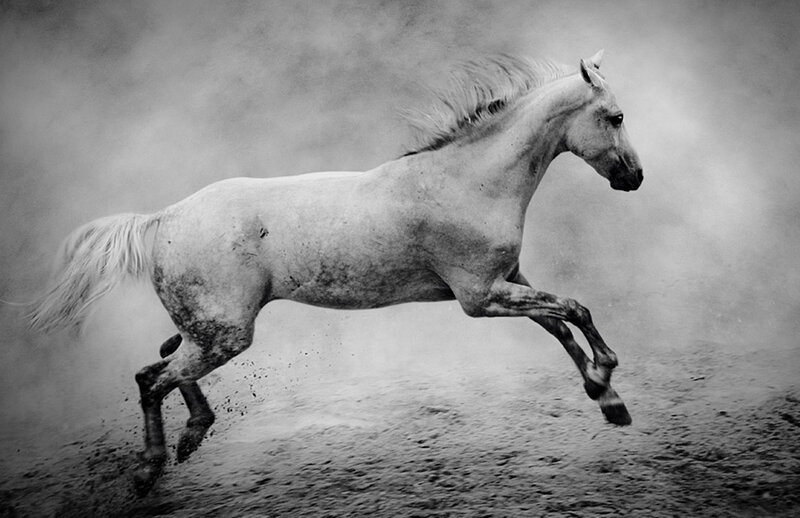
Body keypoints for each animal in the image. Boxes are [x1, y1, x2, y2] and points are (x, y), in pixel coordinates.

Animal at [28, 50, 643, 494]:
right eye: (614, 117)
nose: (634, 177)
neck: (471, 181)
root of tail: (164, 217)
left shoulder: (508, 282)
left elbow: (560, 324)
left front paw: (605, 398)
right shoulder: (481, 296)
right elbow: (575, 308)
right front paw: (608, 378)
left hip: (207, 330)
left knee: (156, 366)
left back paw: (192, 436)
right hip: (225, 334)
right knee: (155, 379)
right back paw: (149, 470)